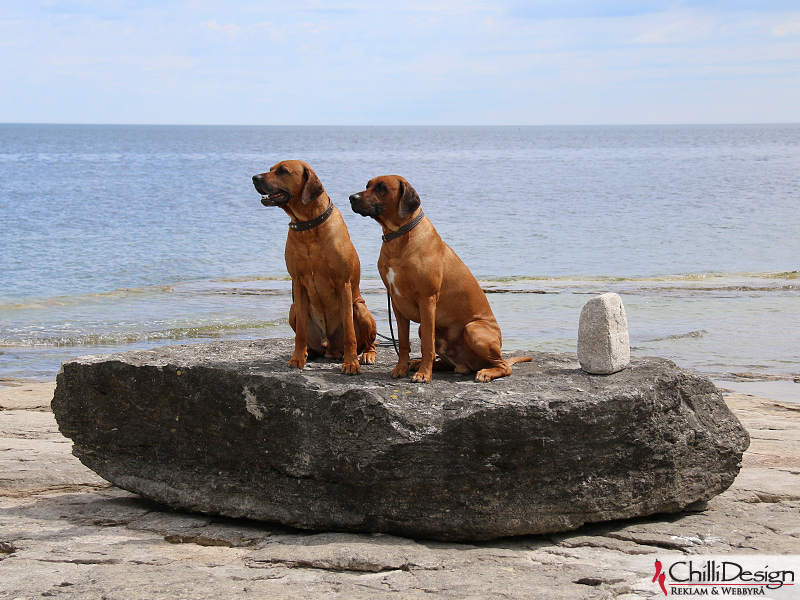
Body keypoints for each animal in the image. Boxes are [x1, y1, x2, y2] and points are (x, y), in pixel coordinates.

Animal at [253, 162, 378, 372]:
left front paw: (351, 363)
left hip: (360, 307)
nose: (254, 177)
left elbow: (350, 333)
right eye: (270, 169)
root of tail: (330, 349)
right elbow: (300, 334)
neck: (308, 226)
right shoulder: (298, 283)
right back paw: (307, 352)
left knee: (369, 342)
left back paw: (367, 355)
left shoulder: (343, 283)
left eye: (282, 171)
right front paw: (297, 358)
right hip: (294, 308)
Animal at [350, 173, 532, 382]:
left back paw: (485, 372)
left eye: (381, 188)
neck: (398, 236)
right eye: (367, 185)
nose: (352, 197)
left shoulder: (427, 299)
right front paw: (401, 368)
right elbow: (403, 343)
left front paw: (423, 374)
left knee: (504, 366)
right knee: (448, 363)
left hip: (473, 329)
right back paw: (418, 363)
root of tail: (468, 364)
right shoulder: (397, 303)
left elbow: (427, 346)